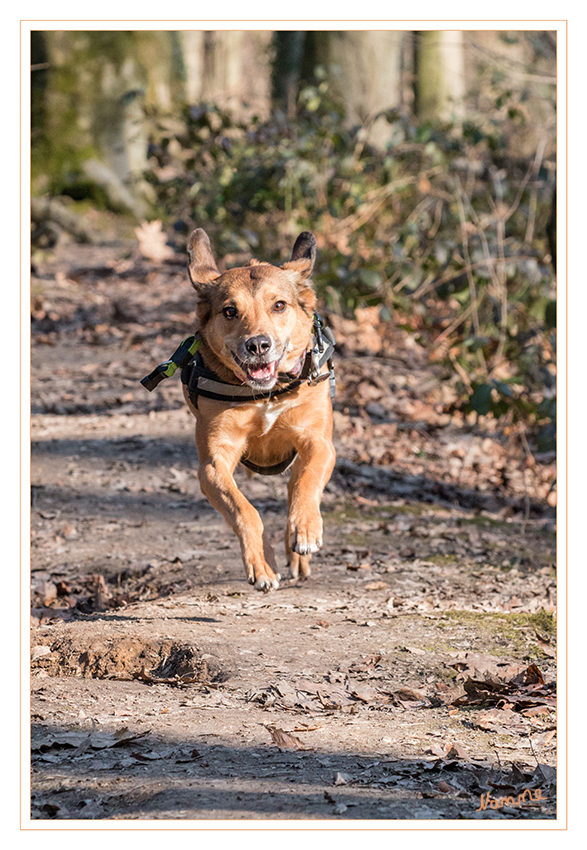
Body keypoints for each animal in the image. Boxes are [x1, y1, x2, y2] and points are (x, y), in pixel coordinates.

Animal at [181, 229, 336, 592]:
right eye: (229, 311)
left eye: (279, 305)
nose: (258, 345)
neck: (266, 395)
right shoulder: (213, 464)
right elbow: (244, 510)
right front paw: (261, 563)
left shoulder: (318, 442)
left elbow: (307, 481)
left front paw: (305, 529)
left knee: (295, 484)